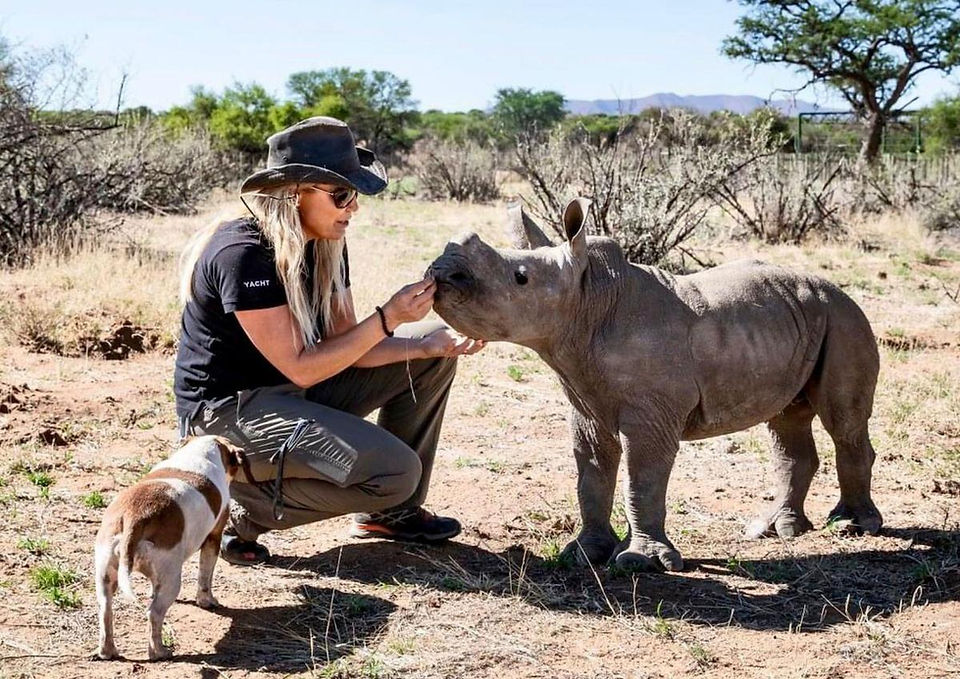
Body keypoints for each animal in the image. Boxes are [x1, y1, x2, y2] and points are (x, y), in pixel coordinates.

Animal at [428, 198, 883, 572]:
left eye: (519, 278)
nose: (442, 273)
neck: (586, 301)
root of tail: (839, 289)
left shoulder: (652, 413)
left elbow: (642, 476)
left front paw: (640, 562)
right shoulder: (586, 403)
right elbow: (591, 473)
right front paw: (584, 553)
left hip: (845, 319)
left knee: (842, 422)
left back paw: (851, 527)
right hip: (801, 320)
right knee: (787, 422)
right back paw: (774, 529)